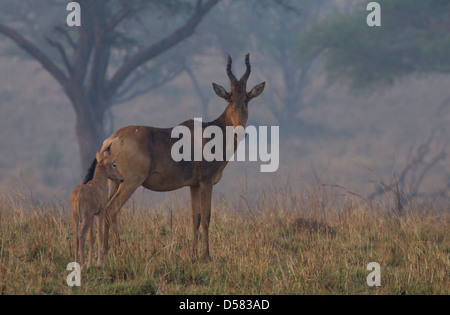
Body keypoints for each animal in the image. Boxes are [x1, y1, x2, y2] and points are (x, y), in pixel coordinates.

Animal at [83, 53, 264, 262]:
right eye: (230, 99)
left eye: (247, 99)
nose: (239, 132)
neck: (210, 132)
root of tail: (112, 139)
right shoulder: (206, 182)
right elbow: (207, 217)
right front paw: (207, 256)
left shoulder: (194, 185)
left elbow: (195, 218)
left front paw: (194, 256)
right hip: (131, 182)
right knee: (112, 208)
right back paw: (121, 252)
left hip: (114, 181)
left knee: (105, 208)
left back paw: (104, 252)